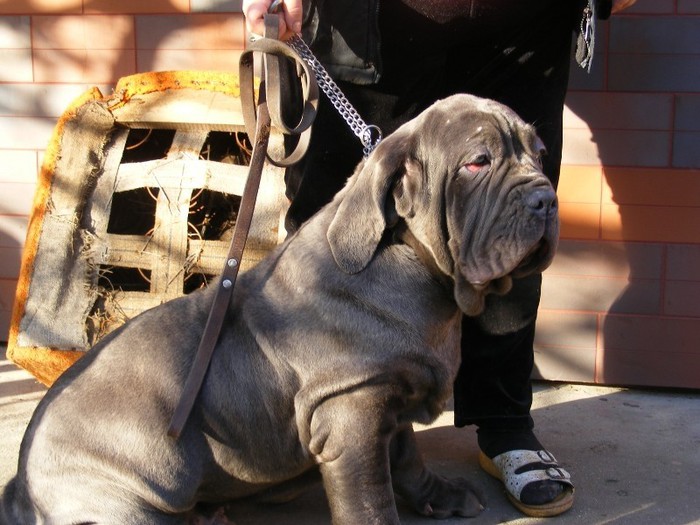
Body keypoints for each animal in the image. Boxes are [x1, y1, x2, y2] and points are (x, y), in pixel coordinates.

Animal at [0, 94, 556, 524]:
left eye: (541, 153)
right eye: (478, 162)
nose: (547, 199)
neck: (419, 265)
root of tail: (20, 486)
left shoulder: (388, 397)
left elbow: (407, 458)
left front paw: (440, 496)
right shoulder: (350, 413)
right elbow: (369, 494)